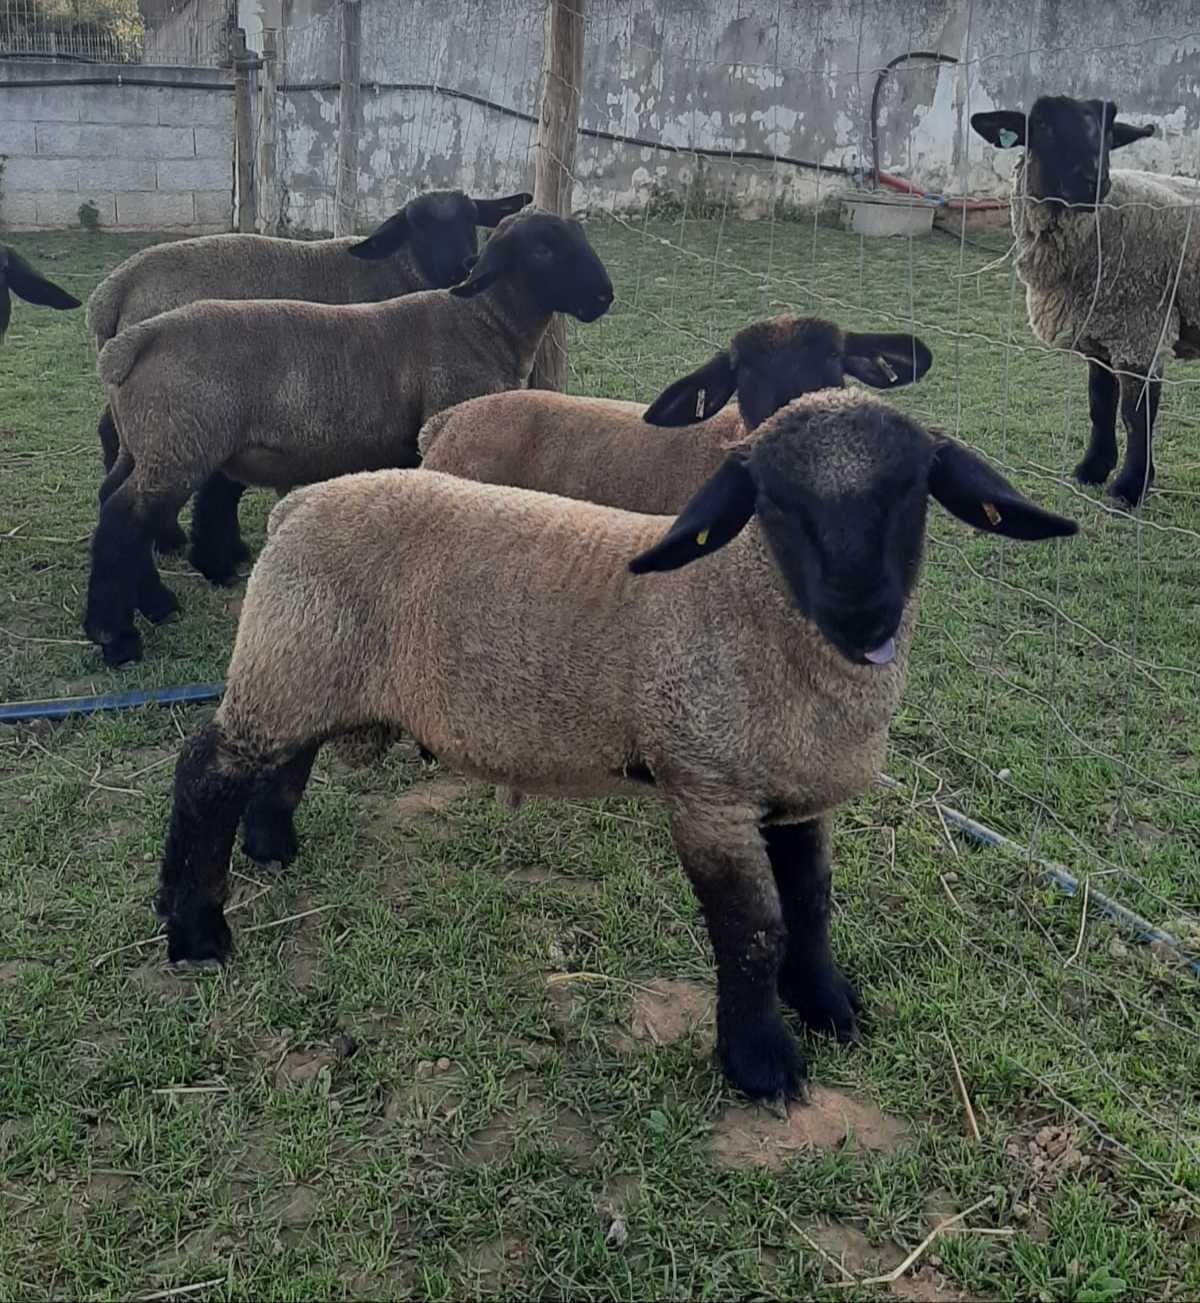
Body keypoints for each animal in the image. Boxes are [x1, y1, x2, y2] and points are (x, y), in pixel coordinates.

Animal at [87, 190, 528, 557]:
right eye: (418, 226)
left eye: (472, 219)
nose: (463, 266)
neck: (396, 269)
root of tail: (113, 289)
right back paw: (167, 540)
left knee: (113, 437)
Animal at [154, 383, 1073, 1099]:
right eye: (775, 502)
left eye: (914, 491)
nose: (865, 614)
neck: (743, 603)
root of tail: (297, 505)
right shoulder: (706, 788)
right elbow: (752, 926)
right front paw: (761, 1062)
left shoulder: (796, 792)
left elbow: (810, 902)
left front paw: (827, 1003)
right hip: (286, 659)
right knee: (206, 771)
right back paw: (195, 927)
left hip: (309, 665)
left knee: (286, 757)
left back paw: (270, 843)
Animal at [969, 91, 1193, 505]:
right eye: (1042, 125)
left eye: (1110, 135)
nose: (1094, 181)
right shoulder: (1100, 331)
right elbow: (1099, 404)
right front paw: (1092, 469)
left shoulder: (1143, 329)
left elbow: (1136, 415)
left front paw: (1129, 488)